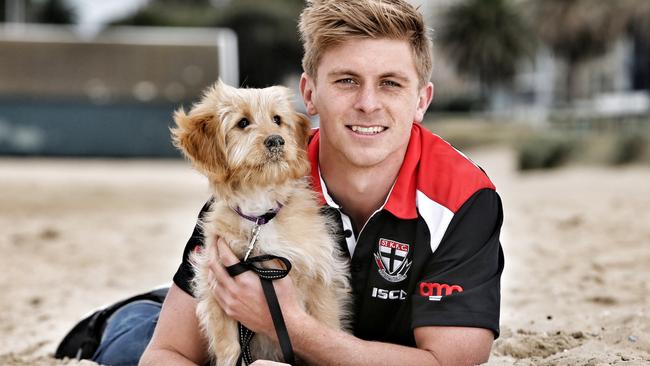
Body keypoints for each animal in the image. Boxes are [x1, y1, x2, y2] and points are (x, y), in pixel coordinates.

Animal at [170, 81, 346, 366]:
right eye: (242, 123)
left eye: (277, 120)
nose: (276, 140)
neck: (260, 214)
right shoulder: (214, 286)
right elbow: (229, 349)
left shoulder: (321, 277)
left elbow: (326, 325)